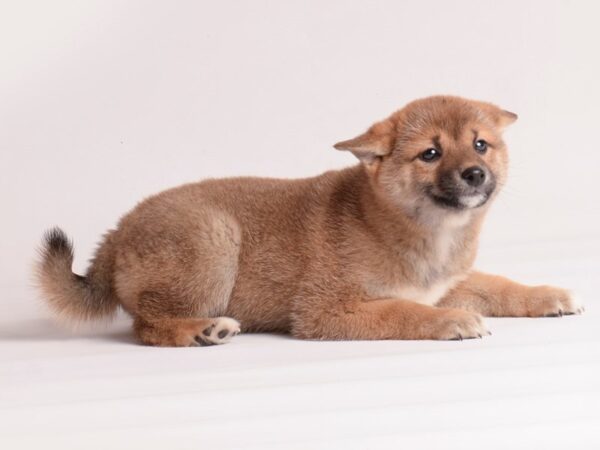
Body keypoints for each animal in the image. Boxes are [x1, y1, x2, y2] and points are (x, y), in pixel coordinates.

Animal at [35, 96, 584, 346]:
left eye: (480, 144)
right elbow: (403, 312)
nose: (474, 174)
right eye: (430, 154)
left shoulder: (449, 281)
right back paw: (201, 330)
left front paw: (548, 295)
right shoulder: (326, 309)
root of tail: (114, 237)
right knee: (146, 325)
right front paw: (449, 321)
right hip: (215, 240)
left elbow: (498, 285)